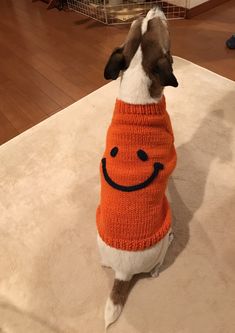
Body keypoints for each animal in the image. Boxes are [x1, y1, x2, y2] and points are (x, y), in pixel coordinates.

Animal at [95, 7, 178, 326]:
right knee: (161, 257)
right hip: (165, 232)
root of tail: (122, 273)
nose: (154, 7)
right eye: (157, 23)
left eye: (139, 21)